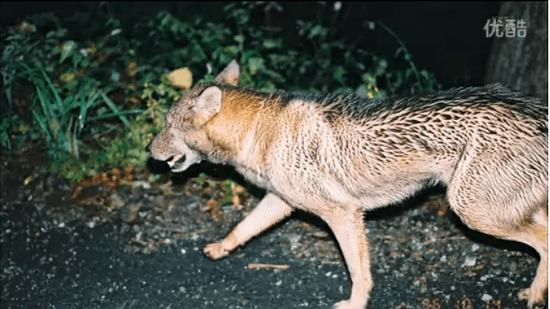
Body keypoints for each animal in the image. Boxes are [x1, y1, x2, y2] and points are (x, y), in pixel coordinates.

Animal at [149, 60, 548, 308]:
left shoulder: (343, 212)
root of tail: (537, 111)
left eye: (167, 125)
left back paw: (533, 294)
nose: (148, 150)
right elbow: (242, 228)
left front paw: (356, 303)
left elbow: (358, 271)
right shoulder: (279, 201)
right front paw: (220, 248)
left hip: (472, 211)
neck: (258, 131)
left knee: (542, 241)